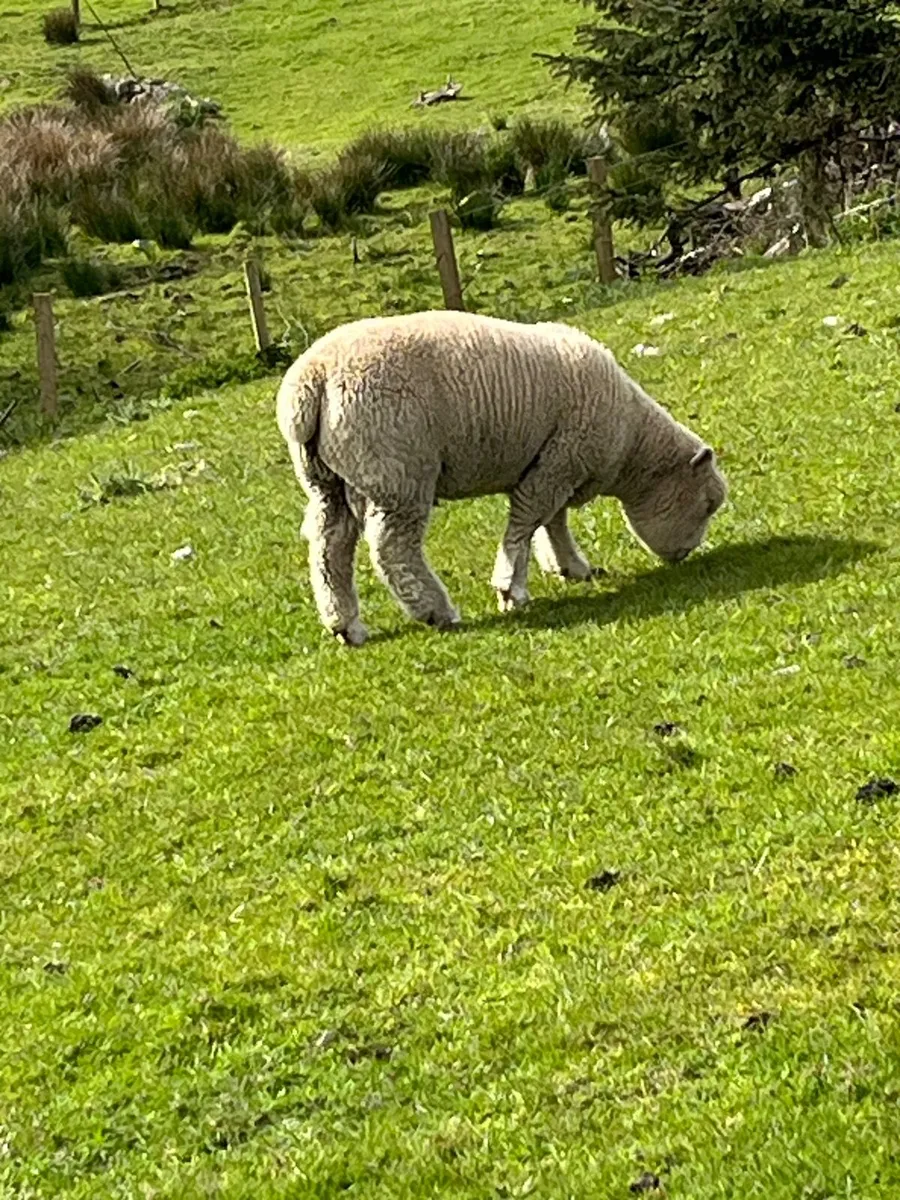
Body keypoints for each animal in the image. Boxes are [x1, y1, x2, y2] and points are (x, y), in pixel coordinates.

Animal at [276, 310, 727, 645]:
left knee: (329, 546)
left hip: (327, 481)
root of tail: (311, 382)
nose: (685, 555)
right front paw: (512, 587)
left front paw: (568, 566)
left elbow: (553, 521)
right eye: (708, 504)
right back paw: (435, 610)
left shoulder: (555, 463)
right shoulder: (560, 460)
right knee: (392, 549)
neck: (630, 439)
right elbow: (528, 520)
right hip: (397, 472)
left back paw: (345, 624)